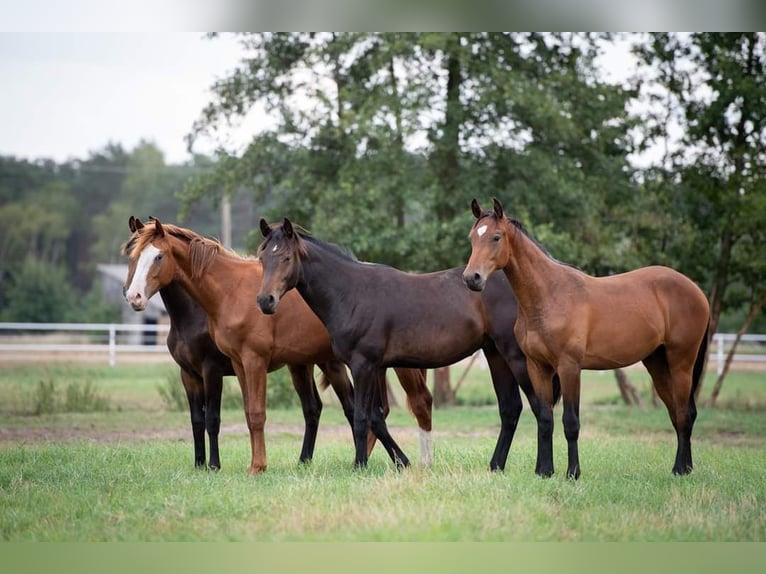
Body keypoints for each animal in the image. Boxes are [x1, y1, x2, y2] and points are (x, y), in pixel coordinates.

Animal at [121, 218, 432, 474]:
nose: (133, 297)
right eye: (133, 256)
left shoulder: (233, 366)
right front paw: (203, 465)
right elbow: (211, 418)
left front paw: (236, 466)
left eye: (158, 256)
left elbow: (235, 416)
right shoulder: (205, 370)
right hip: (319, 365)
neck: (228, 292)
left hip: (362, 366)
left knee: (395, 407)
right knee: (332, 410)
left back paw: (393, 461)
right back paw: (315, 461)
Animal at [255, 218, 556, 474]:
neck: (352, 293)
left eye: (286, 257)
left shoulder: (363, 365)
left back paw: (544, 470)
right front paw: (403, 463)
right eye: (262, 258)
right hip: (495, 355)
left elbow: (362, 417)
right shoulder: (374, 367)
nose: (265, 301)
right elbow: (376, 417)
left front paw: (359, 467)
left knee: (541, 407)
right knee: (511, 408)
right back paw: (496, 466)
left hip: (517, 357)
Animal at [464, 200, 712, 480]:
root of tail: (695, 290)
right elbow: (545, 419)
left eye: (496, 237)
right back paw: (685, 468)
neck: (550, 294)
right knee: (677, 413)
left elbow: (570, 422)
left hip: (681, 363)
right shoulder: (538, 367)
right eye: (472, 238)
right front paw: (544, 471)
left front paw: (572, 473)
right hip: (658, 365)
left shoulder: (569, 367)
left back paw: (680, 469)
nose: (472, 278)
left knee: (683, 414)